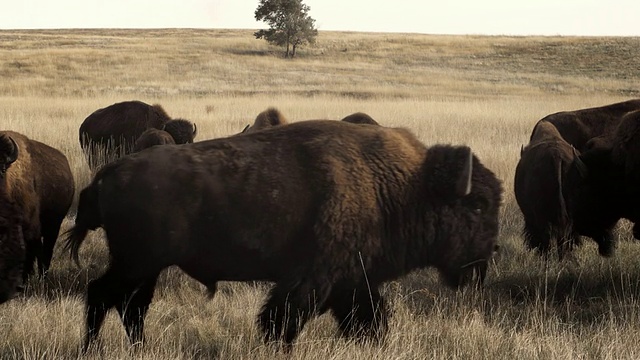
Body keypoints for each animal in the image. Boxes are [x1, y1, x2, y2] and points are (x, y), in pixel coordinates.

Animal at [66, 119, 504, 350]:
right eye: (478, 206)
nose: (486, 258)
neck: (399, 186)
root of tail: (106, 173)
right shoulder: (313, 279)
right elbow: (282, 321)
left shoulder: (355, 282)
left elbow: (370, 320)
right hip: (136, 264)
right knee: (104, 296)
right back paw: (94, 349)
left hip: (145, 268)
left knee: (130, 306)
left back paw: (138, 348)